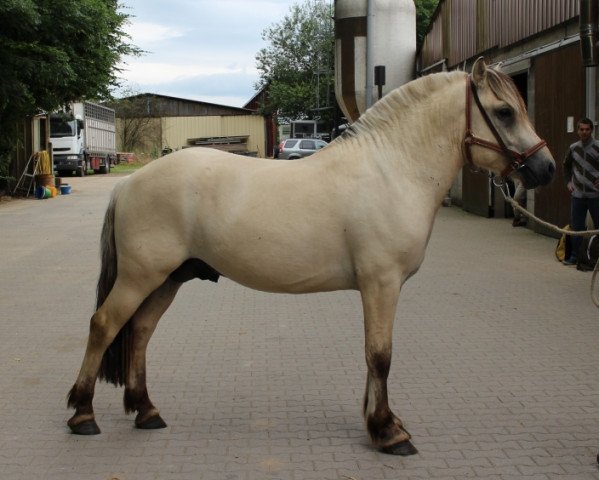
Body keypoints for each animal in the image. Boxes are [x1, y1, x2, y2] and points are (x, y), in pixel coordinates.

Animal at [68, 58, 556, 456]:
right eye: (505, 111)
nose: (546, 168)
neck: (392, 170)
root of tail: (129, 182)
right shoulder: (382, 283)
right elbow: (381, 354)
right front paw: (388, 433)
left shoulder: (378, 287)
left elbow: (372, 354)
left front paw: (379, 421)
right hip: (140, 276)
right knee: (105, 325)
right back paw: (83, 413)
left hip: (168, 278)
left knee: (141, 331)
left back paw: (146, 410)